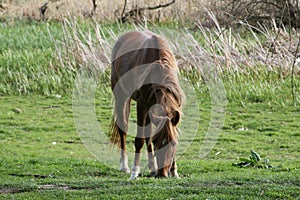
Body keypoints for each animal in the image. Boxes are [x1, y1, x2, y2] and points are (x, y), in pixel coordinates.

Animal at [110, 30, 185, 180]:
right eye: (158, 143)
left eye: (173, 143)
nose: (162, 174)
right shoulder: (142, 106)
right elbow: (140, 139)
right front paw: (135, 172)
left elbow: (153, 136)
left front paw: (174, 171)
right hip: (122, 97)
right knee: (123, 130)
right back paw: (124, 166)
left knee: (148, 133)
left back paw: (152, 168)